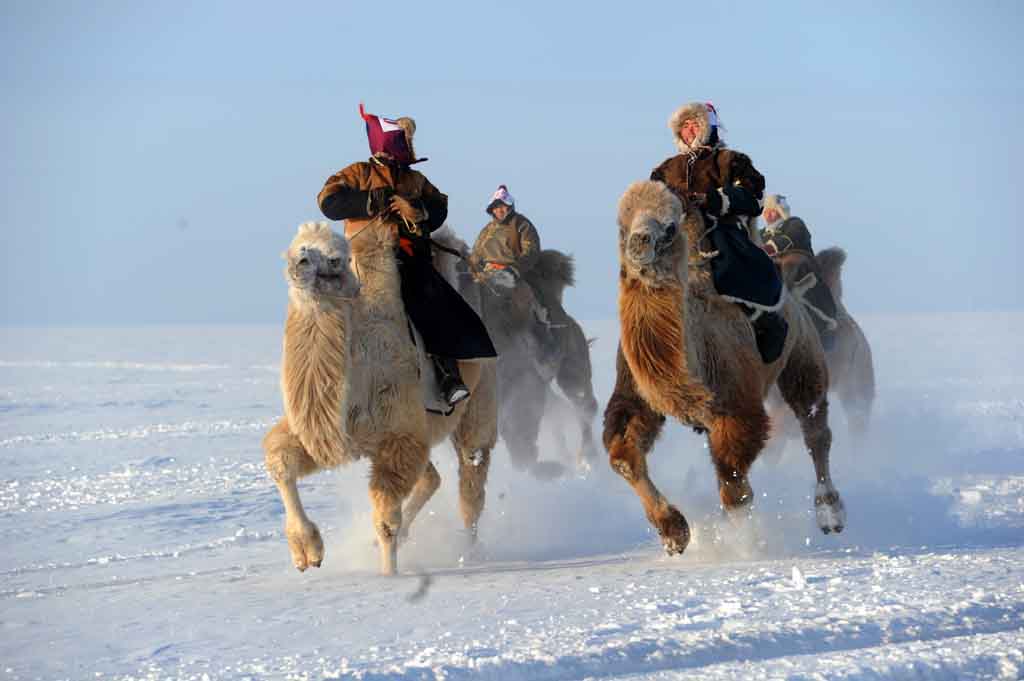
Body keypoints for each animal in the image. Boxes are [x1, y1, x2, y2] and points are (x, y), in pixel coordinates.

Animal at [262, 222, 497, 573]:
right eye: (295, 247)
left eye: (335, 259)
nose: (299, 262)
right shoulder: (329, 433)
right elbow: (280, 460)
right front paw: (306, 552)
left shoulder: (399, 436)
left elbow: (386, 521)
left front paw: (388, 576)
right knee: (432, 478)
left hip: (480, 392)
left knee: (472, 473)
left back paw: (468, 551)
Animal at [602, 183, 843, 557]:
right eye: (622, 223)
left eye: (669, 227)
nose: (639, 243)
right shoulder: (638, 395)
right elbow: (623, 457)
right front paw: (674, 533)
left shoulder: (738, 408)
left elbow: (733, 486)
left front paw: (747, 544)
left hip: (803, 351)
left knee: (815, 427)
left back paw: (829, 513)